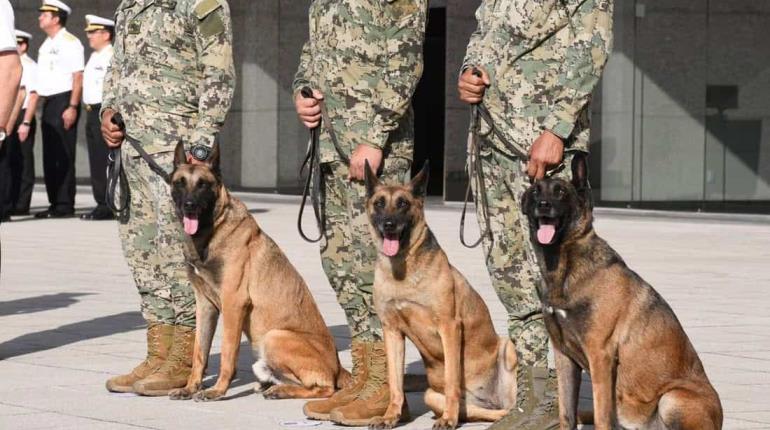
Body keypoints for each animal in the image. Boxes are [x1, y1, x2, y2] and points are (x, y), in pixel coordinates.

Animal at [169, 143, 352, 402]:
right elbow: (199, 352)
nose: (189, 205)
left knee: (324, 388)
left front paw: (217, 390)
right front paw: (190, 387)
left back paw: (280, 390)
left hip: (275, 336)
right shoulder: (205, 305)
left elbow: (227, 353)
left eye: (203, 184)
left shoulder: (233, 304)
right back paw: (270, 385)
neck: (212, 230)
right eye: (180, 183)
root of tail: (338, 367)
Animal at [362, 161, 516, 430]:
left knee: (507, 408)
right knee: (476, 412)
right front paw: (391, 416)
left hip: (508, 349)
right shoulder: (392, 331)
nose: (389, 224)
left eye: (403, 203)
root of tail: (488, 400)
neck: (403, 268)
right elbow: (395, 384)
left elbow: (452, 380)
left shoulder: (449, 327)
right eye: (379, 203)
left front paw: (449, 420)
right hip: (430, 395)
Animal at [520, 155, 724, 430]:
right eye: (535, 192)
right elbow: (566, 413)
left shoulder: (600, 356)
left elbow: (601, 416)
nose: (543, 205)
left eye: (560, 192)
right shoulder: (564, 356)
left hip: (671, 398)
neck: (564, 267)